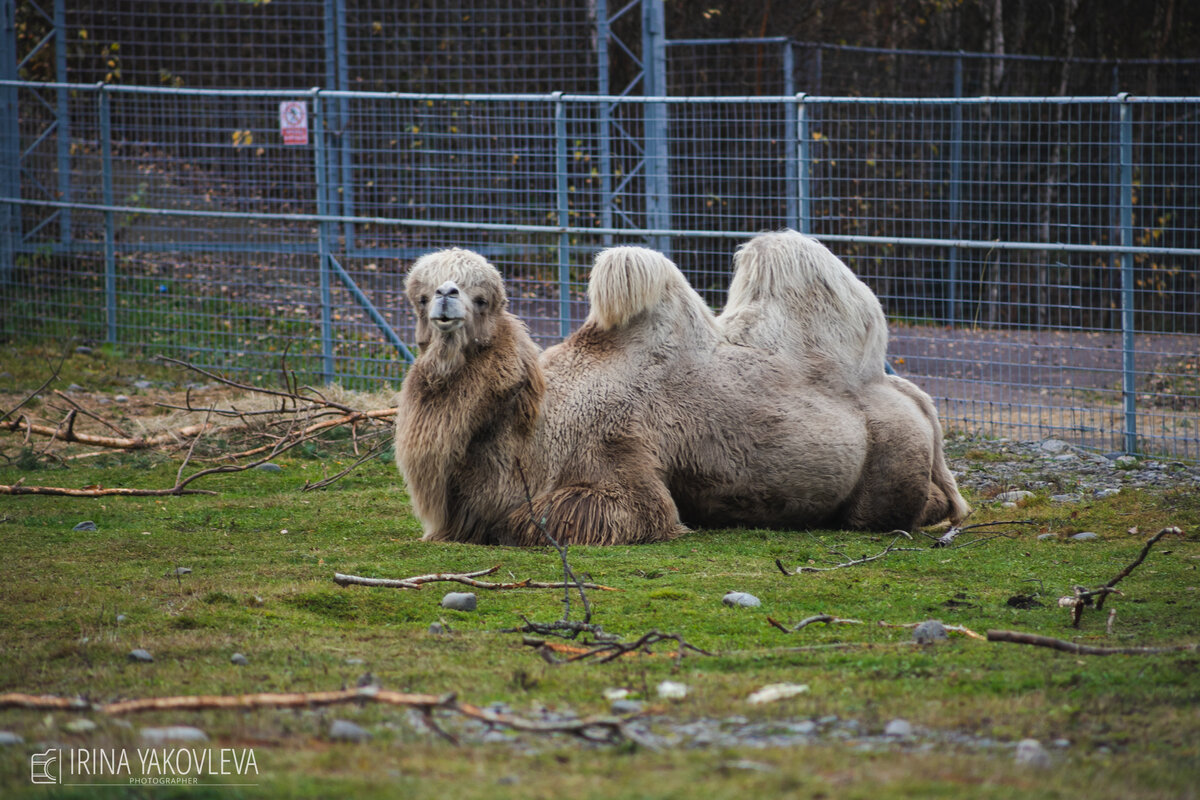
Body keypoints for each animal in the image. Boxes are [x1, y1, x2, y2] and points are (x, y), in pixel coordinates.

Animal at [393, 245, 964, 544]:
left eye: (483, 298)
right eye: (420, 297)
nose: (446, 297)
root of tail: (913, 396)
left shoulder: (615, 459)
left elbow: (554, 519)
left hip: (891, 454)